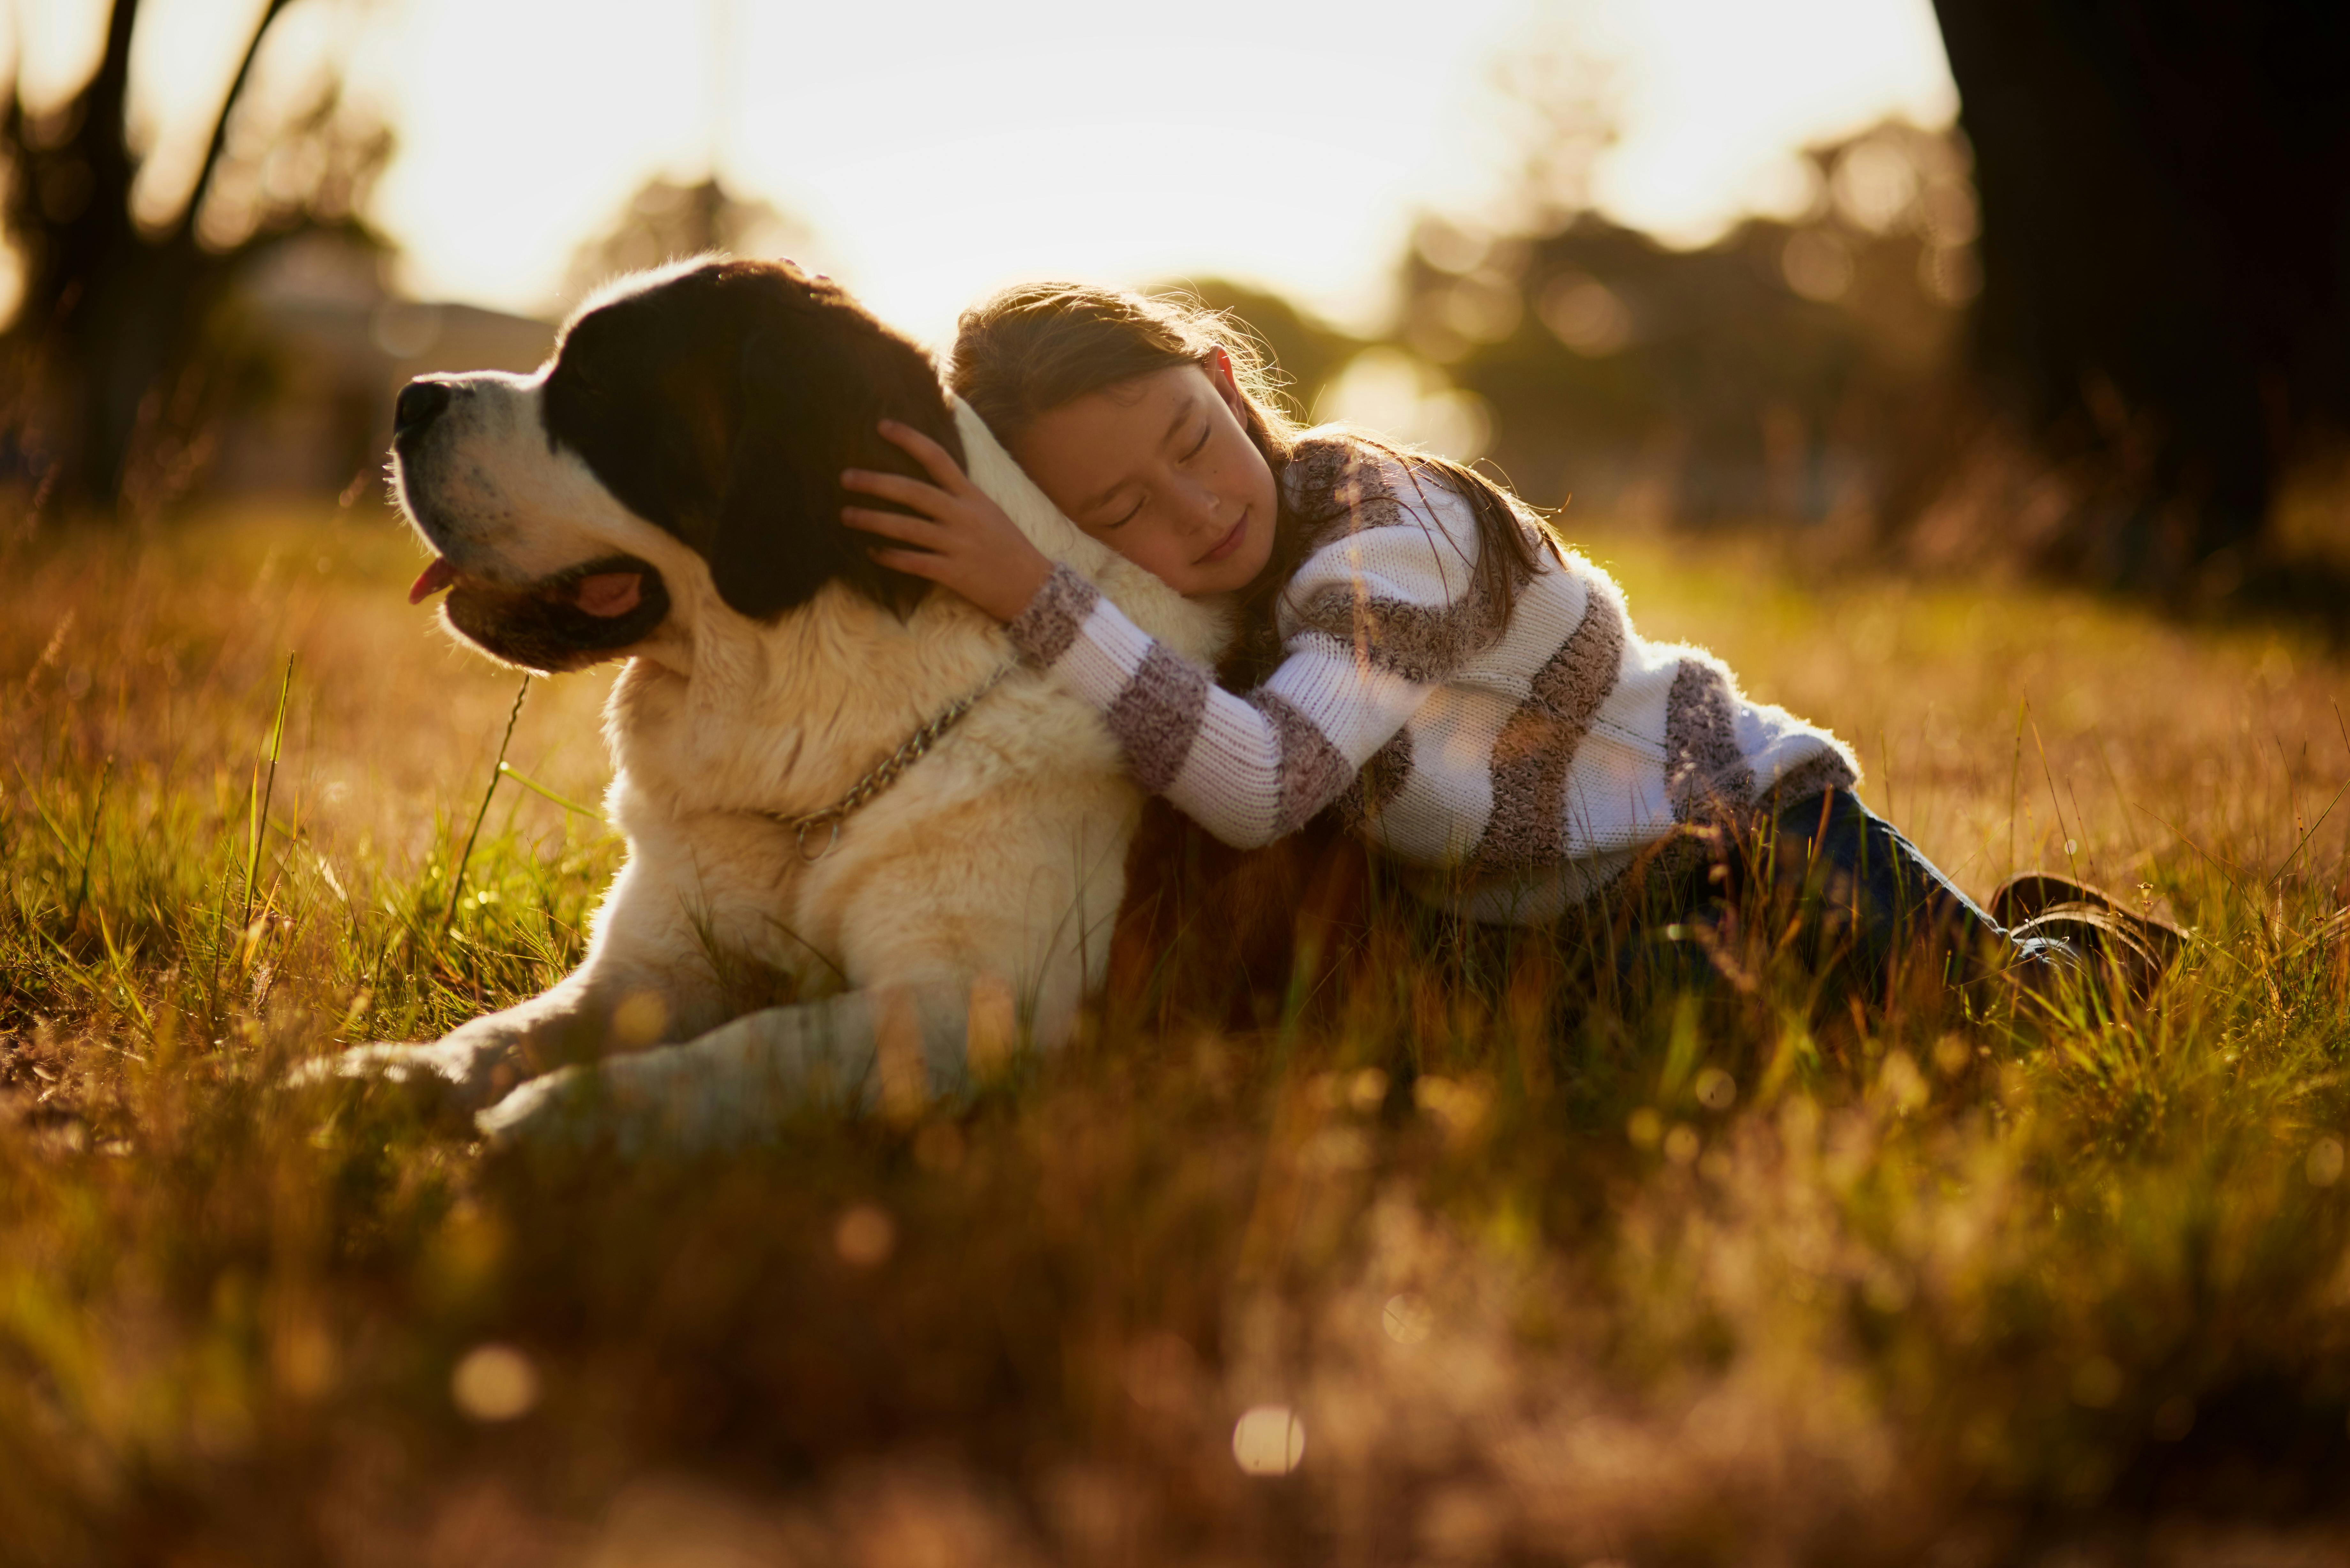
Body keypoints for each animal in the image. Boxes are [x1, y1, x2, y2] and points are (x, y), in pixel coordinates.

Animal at [341, 257, 1241, 1152]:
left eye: (594, 381)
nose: (411, 400)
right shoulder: (653, 960)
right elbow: (512, 1028)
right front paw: (383, 1075)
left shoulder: (958, 1003)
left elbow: (749, 1044)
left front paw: (551, 1116)